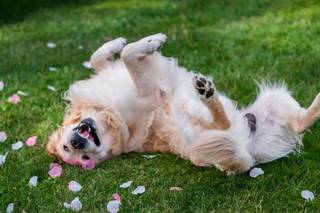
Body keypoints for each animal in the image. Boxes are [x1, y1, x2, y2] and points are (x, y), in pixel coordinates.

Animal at [47, 32, 320, 173]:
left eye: (67, 148)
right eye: (82, 158)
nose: (76, 142)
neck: (114, 116)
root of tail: (249, 154)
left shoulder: (109, 74)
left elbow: (100, 57)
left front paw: (125, 41)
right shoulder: (150, 91)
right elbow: (128, 55)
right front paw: (151, 42)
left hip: (276, 101)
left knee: (299, 123)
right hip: (187, 115)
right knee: (220, 123)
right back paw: (207, 92)